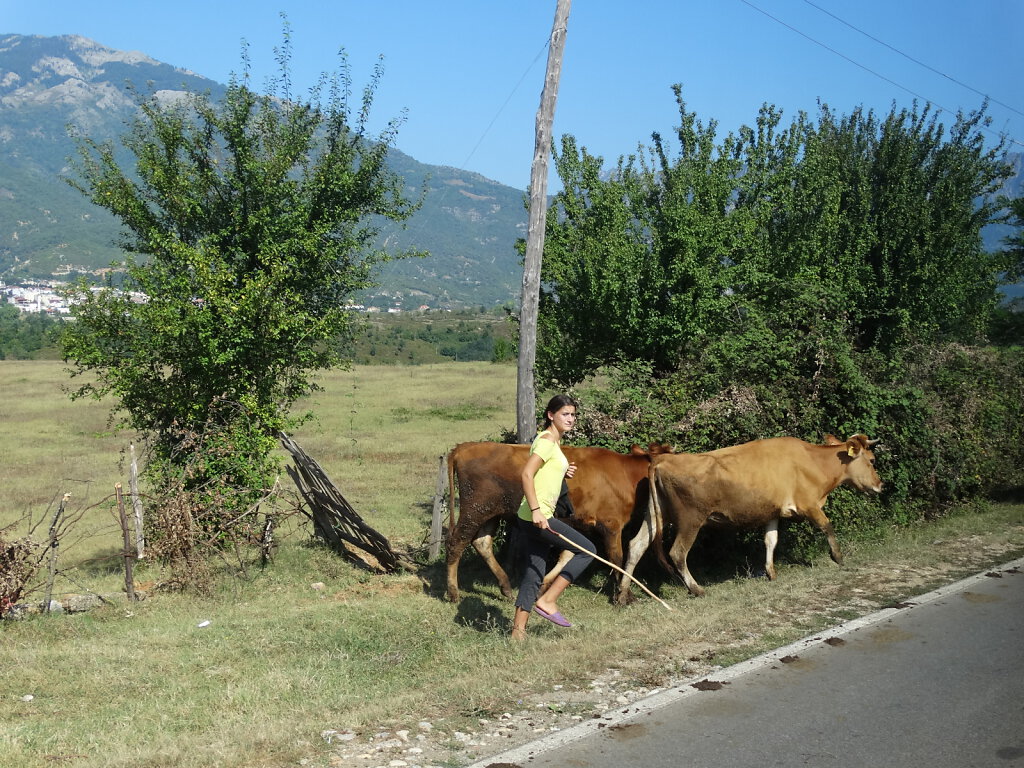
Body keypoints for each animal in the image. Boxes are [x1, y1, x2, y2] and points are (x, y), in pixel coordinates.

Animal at [442, 442, 667, 606]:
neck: (626, 474)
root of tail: (466, 446)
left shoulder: (578, 524)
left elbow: (568, 556)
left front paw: (543, 586)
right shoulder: (612, 525)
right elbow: (617, 559)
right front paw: (624, 596)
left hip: (490, 513)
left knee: (482, 543)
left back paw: (505, 587)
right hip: (474, 510)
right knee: (456, 543)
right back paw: (453, 592)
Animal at [614, 434, 880, 606]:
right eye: (872, 460)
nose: (881, 484)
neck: (812, 461)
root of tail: (662, 460)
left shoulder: (772, 513)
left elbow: (770, 541)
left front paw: (771, 572)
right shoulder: (809, 504)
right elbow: (827, 526)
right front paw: (838, 556)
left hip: (655, 514)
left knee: (636, 546)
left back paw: (623, 594)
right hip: (691, 519)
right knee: (677, 552)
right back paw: (696, 588)